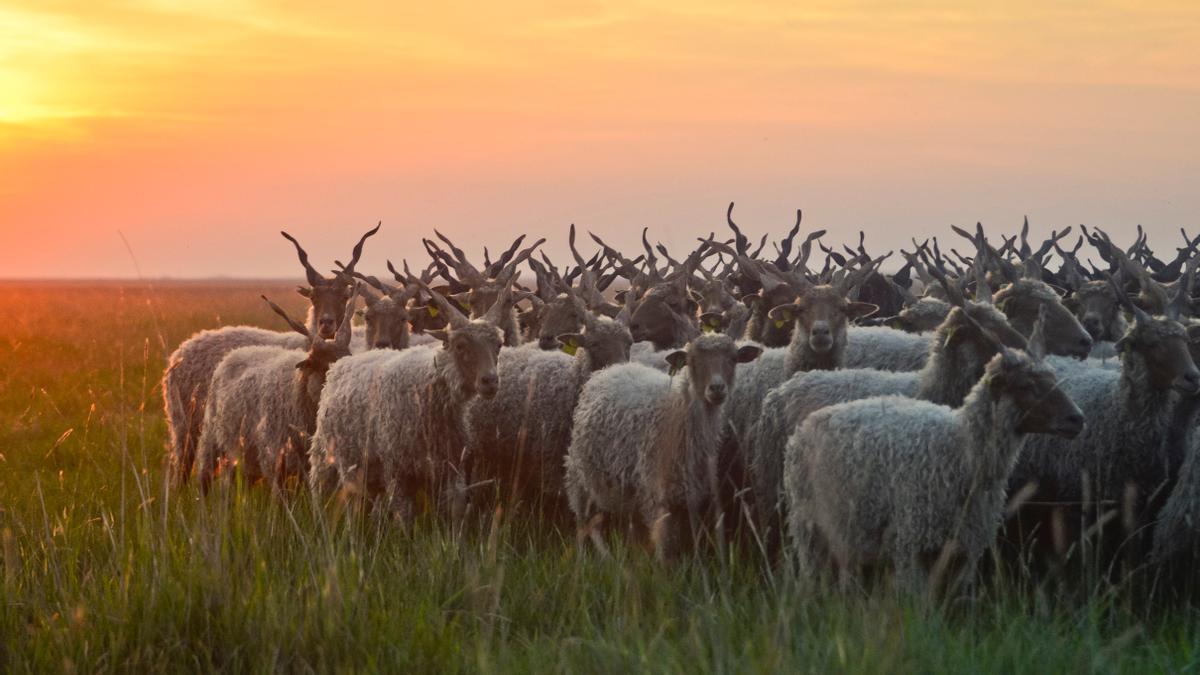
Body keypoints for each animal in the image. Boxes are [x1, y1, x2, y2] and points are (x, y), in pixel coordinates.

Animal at [160, 224, 374, 482]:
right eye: (314, 297)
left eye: (344, 296)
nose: (326, 323)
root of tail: (183, 348)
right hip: (186, 426)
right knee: (182, 470)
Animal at [307, 264, 513, 514]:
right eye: (460, 345)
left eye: (499, 345)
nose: (490, 381)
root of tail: (340, 364)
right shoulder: (396, 470)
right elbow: (404, 516)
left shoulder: (450, 471)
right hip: (325, 457)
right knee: (322, 492)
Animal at [561, 331, 758, 557]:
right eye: (692, 362)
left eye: (733, 359)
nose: (717, 388)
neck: (677, 410)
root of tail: (610, 370)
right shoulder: (657, 493)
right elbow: (666, 549)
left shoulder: (690, 495)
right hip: (579, 473)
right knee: (583, 520)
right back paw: (587, 557)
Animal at [782, 317, 1084, 590]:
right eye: (1026, 386)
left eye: (1054, 378)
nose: (1077, 419)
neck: (961, 448)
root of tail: (803, 427)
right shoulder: (911, 542)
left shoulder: (966, 549)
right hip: (810, 528)